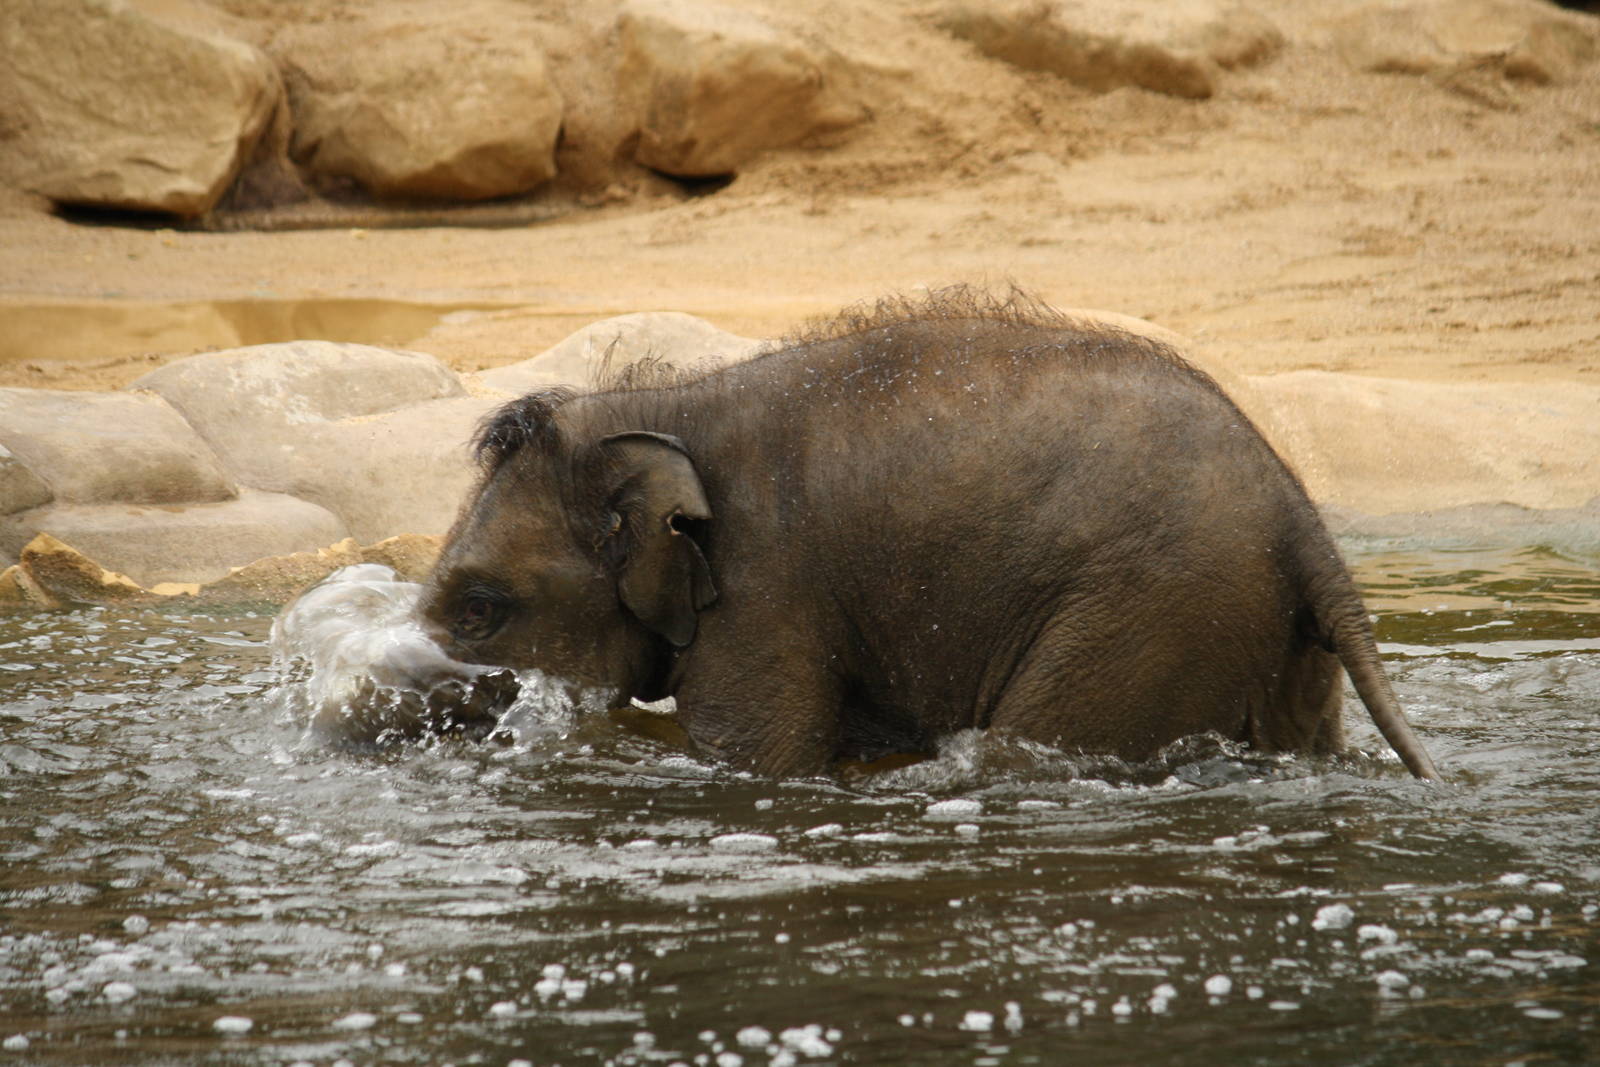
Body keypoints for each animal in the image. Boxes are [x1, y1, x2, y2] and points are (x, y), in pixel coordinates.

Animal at [417, 287, 1440, 780]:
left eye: (479, 608)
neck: (665, 409)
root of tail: (1303, 519)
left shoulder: (765, 592)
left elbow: (750, 756)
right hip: (1264, 630)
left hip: (1153, 607)